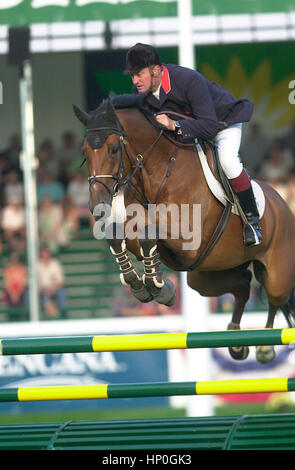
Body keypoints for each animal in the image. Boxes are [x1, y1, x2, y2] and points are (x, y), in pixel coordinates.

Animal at [73, 95, 295, 364]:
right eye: (84, 152)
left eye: (114, 149)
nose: (97, 205)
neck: (156, 171)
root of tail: (281, 202)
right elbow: (119, 237)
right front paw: (143, 285)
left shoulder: (188, 240)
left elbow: (148, 236)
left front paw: (160, 288)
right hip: (206, 275)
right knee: (242, 285)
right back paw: (236, 340)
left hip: (275, 273)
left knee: (275, 298)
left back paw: (264, 347)